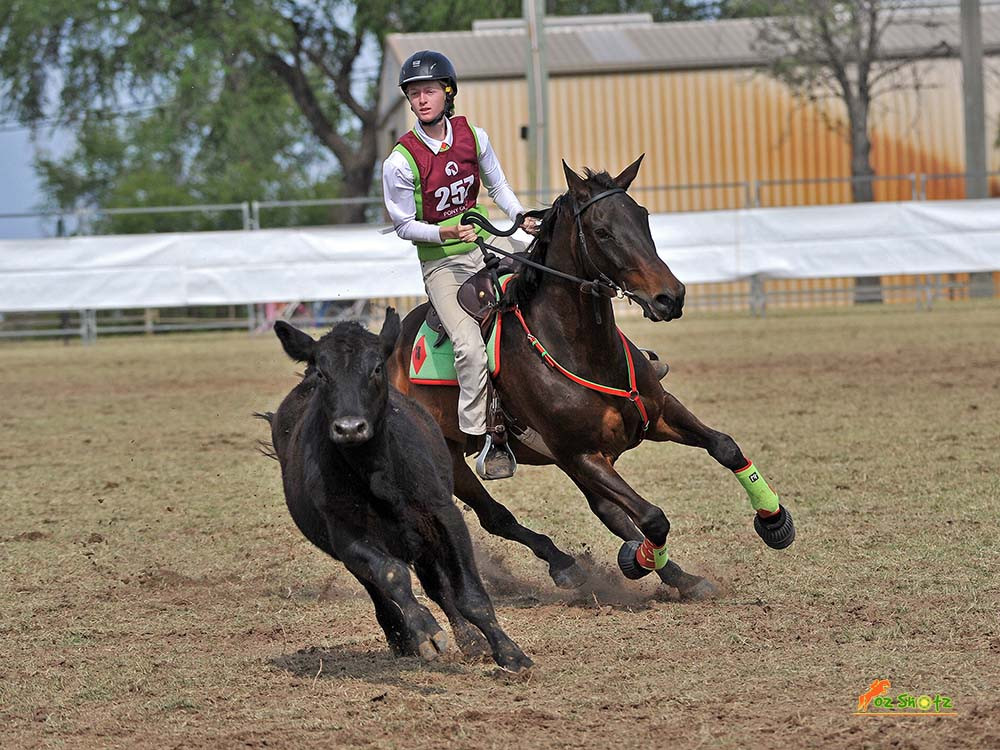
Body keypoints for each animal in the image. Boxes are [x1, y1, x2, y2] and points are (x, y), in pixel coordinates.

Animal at [386, 156, 792, 604]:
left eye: (642, 217)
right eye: (602, 231)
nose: (670, 297)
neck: (584, 352)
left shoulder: (657, 414)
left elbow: (724, 447)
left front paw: (774, 521)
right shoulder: (582, 454)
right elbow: (653, 517)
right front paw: (637, 560)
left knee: (608, 511)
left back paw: (678, 576)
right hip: (454, 457)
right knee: (497, 516)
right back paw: (565, 565)